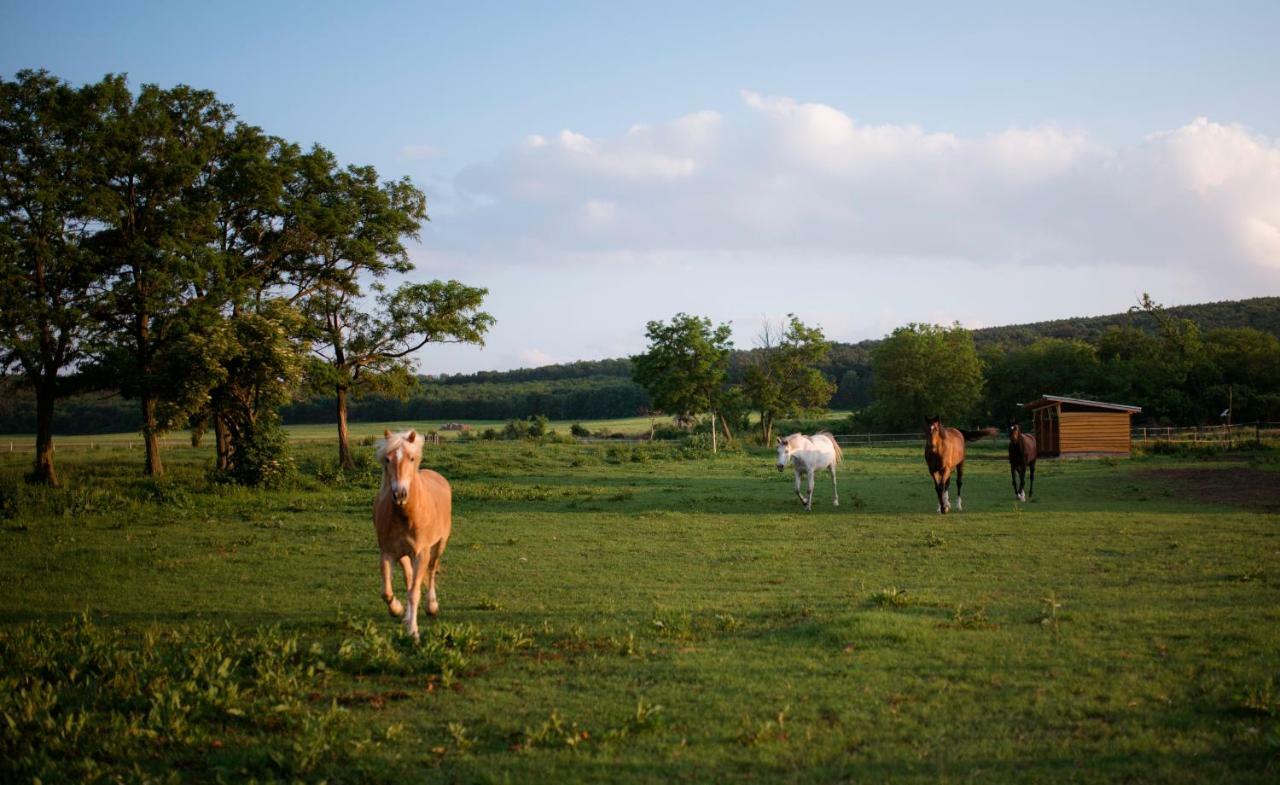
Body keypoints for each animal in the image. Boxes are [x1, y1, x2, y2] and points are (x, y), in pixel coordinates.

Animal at [373, 427, 453, 637]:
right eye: (387, 459)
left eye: (411, 458)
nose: (400, 494)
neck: (406, 515)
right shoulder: (388, 553)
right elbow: (387, 592)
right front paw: (397, 610)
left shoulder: (421, 554)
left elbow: (415, 592)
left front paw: (413, 631)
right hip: (404, 554)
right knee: (409, 578)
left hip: (439, 545)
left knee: (431, 571)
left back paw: (431, 606)